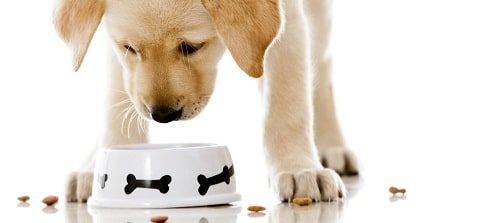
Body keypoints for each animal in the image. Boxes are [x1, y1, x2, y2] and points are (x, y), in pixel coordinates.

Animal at [54, 0, 358, 202]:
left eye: (191, 47)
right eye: (129, 48)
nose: (163, 115)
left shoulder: (290, 20)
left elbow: (287, 103)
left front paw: (299, 168)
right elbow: (117, 98)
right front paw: (100, 164)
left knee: (321, 66)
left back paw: (332, 146)